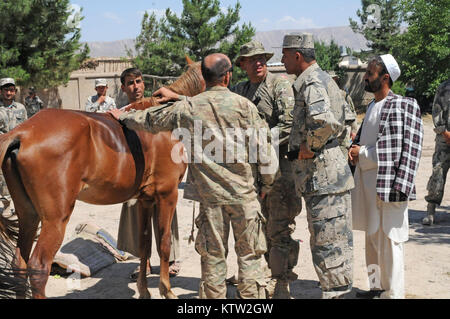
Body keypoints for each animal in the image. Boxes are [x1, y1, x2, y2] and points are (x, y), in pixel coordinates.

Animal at [0, 60, 202, 300]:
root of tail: (22, 133)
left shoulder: (145, 199)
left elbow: (144, 245)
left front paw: (144, 290)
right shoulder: (167, 194)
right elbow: (164, 243)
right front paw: (167, 290)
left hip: (28, 215)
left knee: (19, 263)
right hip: (54, 219)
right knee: (38, 266)